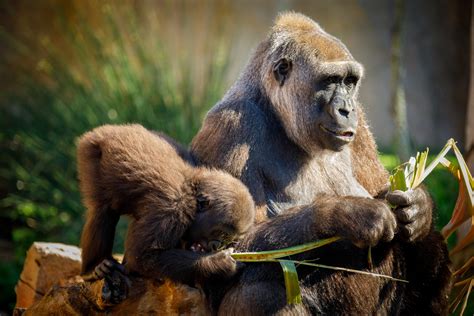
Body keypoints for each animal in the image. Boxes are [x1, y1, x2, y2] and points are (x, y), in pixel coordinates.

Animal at [77, 123, 256, 288]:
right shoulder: (173, 209)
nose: (216, 246)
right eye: (221, 233)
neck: (192, 189)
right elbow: (143, 257)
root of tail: (108, 129)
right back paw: (93, 268)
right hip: (92, 152)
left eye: (228, 239)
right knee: (102, 211)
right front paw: (218, 263)